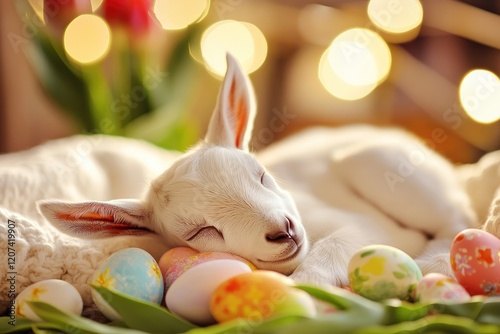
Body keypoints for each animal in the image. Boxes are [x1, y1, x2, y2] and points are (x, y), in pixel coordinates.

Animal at [0, 54, 500, 316]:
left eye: (260, 175)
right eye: (201, 231)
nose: (284, 231)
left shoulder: (366, 224)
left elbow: (342, 242)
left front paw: (308, 290)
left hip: (379, 162)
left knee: (456, 216)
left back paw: (435, 260)